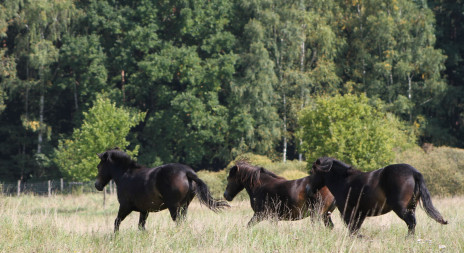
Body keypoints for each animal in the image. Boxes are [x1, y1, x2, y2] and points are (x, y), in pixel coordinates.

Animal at [94, 147, 228, 232]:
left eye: (99, 166)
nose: (97, 185)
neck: (126, 175)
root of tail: (187, 172)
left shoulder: (125, 206)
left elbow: (116, 222)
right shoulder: (144, 210)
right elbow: (141, 227)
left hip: (174, 207)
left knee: (178, 222)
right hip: (184, 206)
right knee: (183, 221)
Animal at [310, 157, 448, 236]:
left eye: (312, 171)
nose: (310, 189)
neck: (344, 181)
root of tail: (414, 173)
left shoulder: (348, 212)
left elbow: (352, 229)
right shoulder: (360, 213)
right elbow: (355, 228)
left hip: (400, 208)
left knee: (411, 223)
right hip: (411, 207)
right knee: (412, 224)